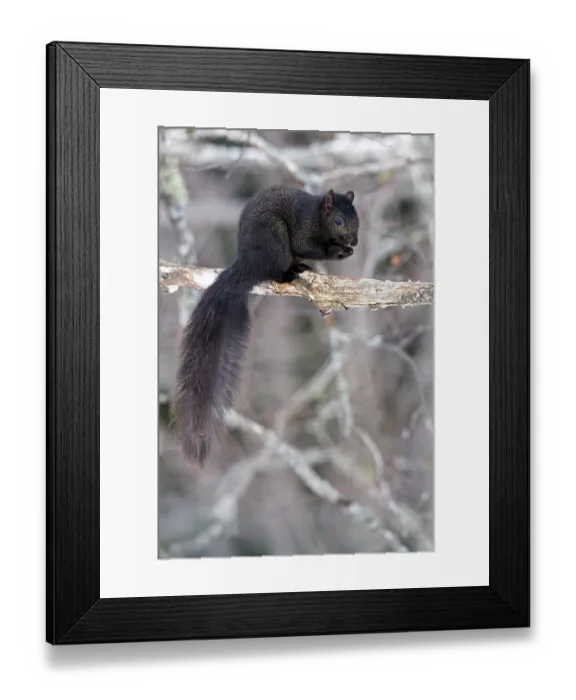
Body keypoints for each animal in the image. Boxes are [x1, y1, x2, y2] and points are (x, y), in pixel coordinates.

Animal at [172, 185, 360, 464]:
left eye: (357, 218)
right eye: (338, 220)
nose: (353, 242)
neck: (318, 215)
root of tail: (248, 262)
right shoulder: (303, 226)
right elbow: (306, 245)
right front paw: (337, 250)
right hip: (274, 236)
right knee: (276, 270)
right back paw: (291, 272)